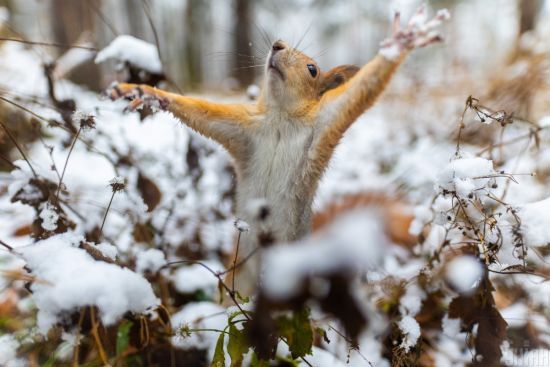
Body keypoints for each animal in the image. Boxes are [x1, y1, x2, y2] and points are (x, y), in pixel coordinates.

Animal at [110, 5, 450, 294]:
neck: (281, 118)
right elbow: (199, 111)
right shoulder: (242, 129)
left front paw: (401, 42)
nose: (277, 45)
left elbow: (360, 93)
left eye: (312, 69)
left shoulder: (325, 122)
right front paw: (145, 92)